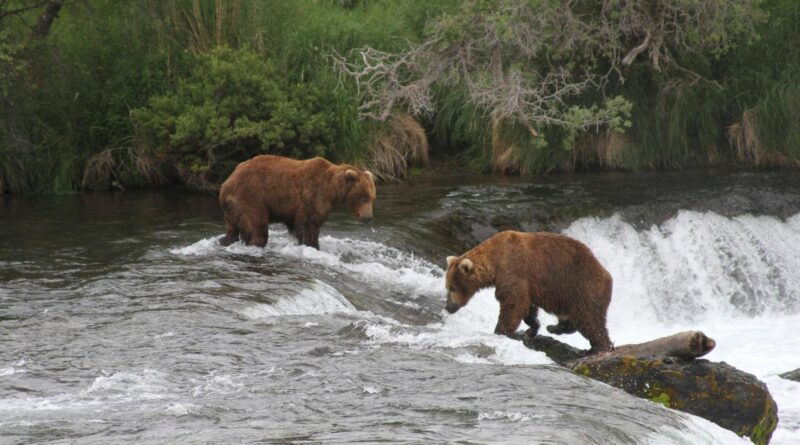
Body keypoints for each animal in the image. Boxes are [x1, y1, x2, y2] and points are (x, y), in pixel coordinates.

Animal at [218, 154, 376, 249]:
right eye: (363, 197)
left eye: (372, 197)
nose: (368, 217)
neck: (332, 190)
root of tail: (225, 183)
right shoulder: (313, 196)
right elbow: (308, 225)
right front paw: (312, 245)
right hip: (250, 198)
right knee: (257, 228)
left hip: (233, 209)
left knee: (232, 230)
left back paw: (224, 241)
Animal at [444, 230, 613, 353]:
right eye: (447, 287)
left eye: (452, 287)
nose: (448, 307)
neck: (495, 261)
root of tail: (607, 275)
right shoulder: (527, 284)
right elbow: (527, 306)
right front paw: (531, 328)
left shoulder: (513, 270)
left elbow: (513, 304)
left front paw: (500, 331)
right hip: (567, 296)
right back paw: (555, 327)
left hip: (583, 287)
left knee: (589, 319)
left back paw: (599, 347)